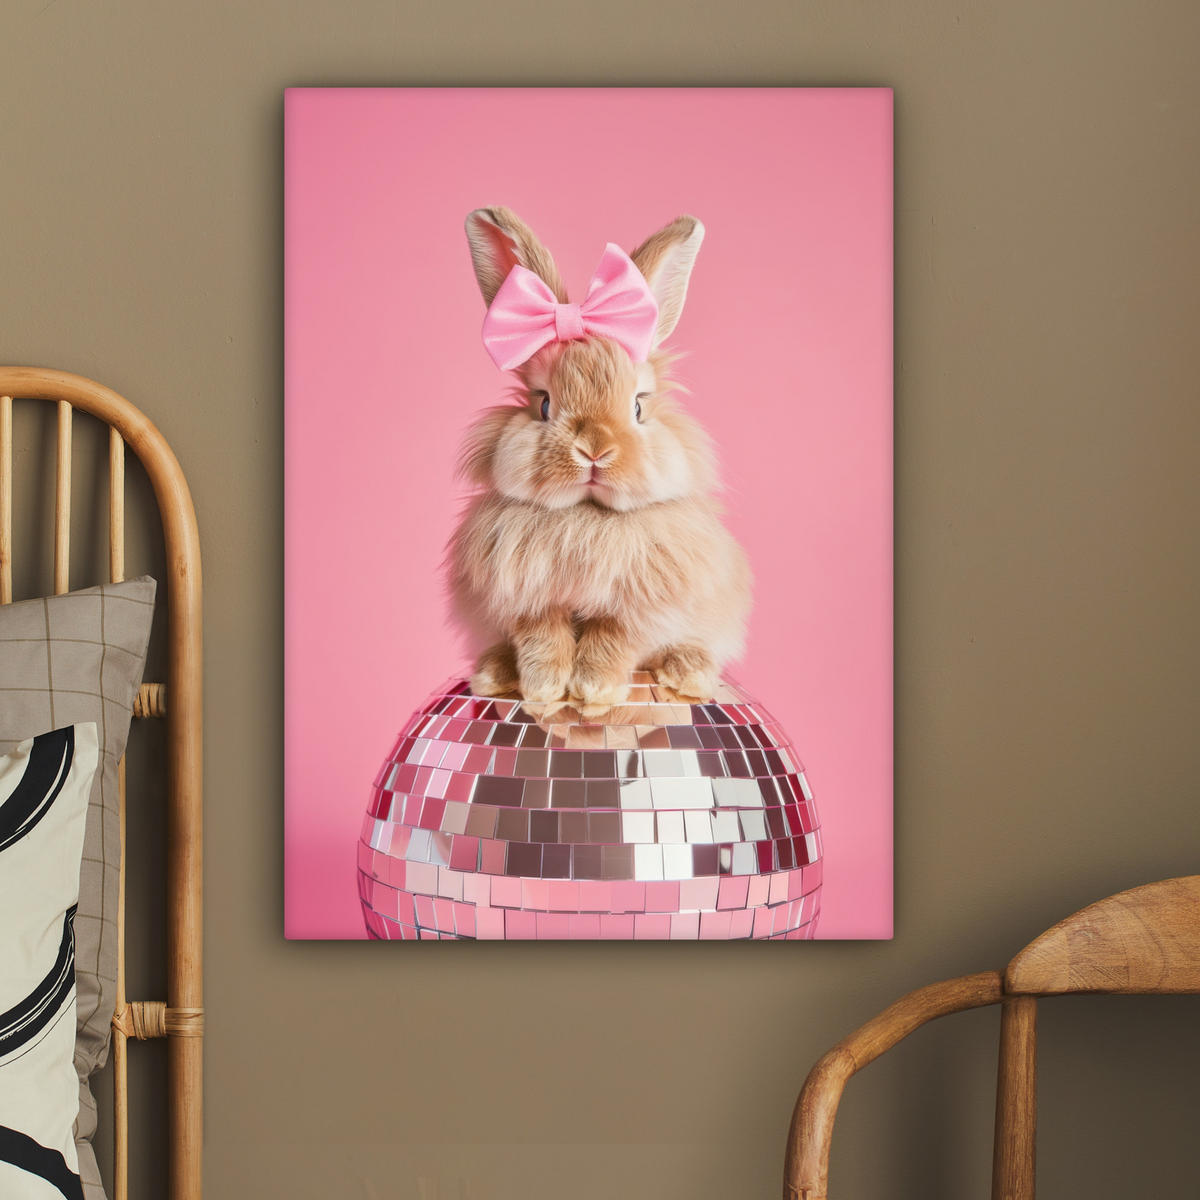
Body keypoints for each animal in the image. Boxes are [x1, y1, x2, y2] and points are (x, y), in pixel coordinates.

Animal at [447, 206, 751, 713]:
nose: (594, 449)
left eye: (639, 407)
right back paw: (493, 675)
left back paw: (686, 674)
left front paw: (593, 689)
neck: (586, 516)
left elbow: (612, 637)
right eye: (543, 404)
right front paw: (544, 688)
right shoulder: (529, 598)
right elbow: (542, 636)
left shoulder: (639, 604)